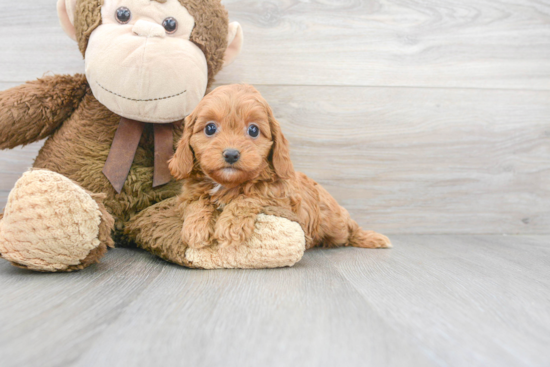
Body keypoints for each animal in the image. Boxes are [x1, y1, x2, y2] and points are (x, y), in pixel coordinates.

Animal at [168, 84, 392, 250]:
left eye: (253, 130)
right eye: (210, 128)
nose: (231, 154)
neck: (227, 184)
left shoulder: (280, 197)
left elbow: (248, 197)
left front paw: (231, 226)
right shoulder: (186, 197)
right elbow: (197, 203)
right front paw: (196, 229)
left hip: (335, 222)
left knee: (349, 228)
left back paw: (371, 238)